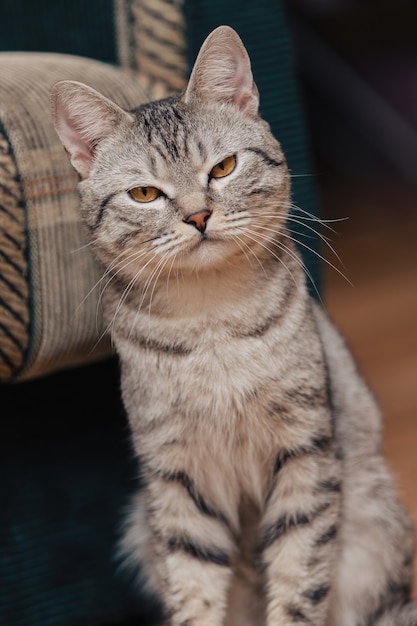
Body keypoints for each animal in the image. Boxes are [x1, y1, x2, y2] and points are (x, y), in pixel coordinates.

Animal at [50, 24, 414, 624]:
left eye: (223, 168)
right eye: (144, 193)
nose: (198, 216)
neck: (211, 321)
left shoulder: (304, 453)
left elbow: (298, 579)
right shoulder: (176, 477)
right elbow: (193, 587)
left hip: (374, 527)